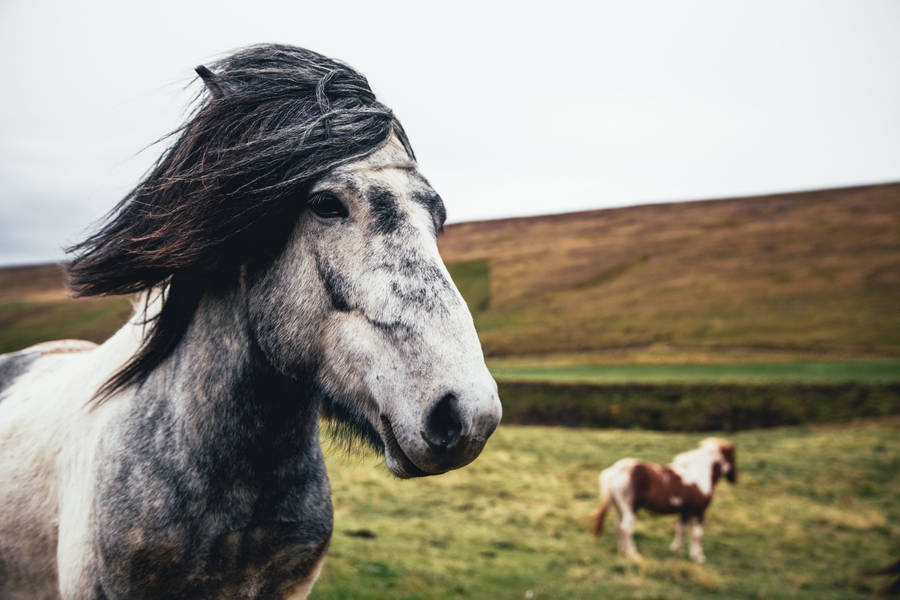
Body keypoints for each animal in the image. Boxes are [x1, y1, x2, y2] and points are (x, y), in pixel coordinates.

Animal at [592, 438, 736, 563]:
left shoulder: (685, 511)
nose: (734, 479)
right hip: (630, 509)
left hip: (619, 508)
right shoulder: (699, 511)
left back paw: (622, 552)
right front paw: (698, 557)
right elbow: (697, 534)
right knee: (626, 529)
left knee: (619, 527)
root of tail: (614, 470)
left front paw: (678, 550)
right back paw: (633, 555)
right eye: (733, 458)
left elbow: (681, 529)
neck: (698, 473)